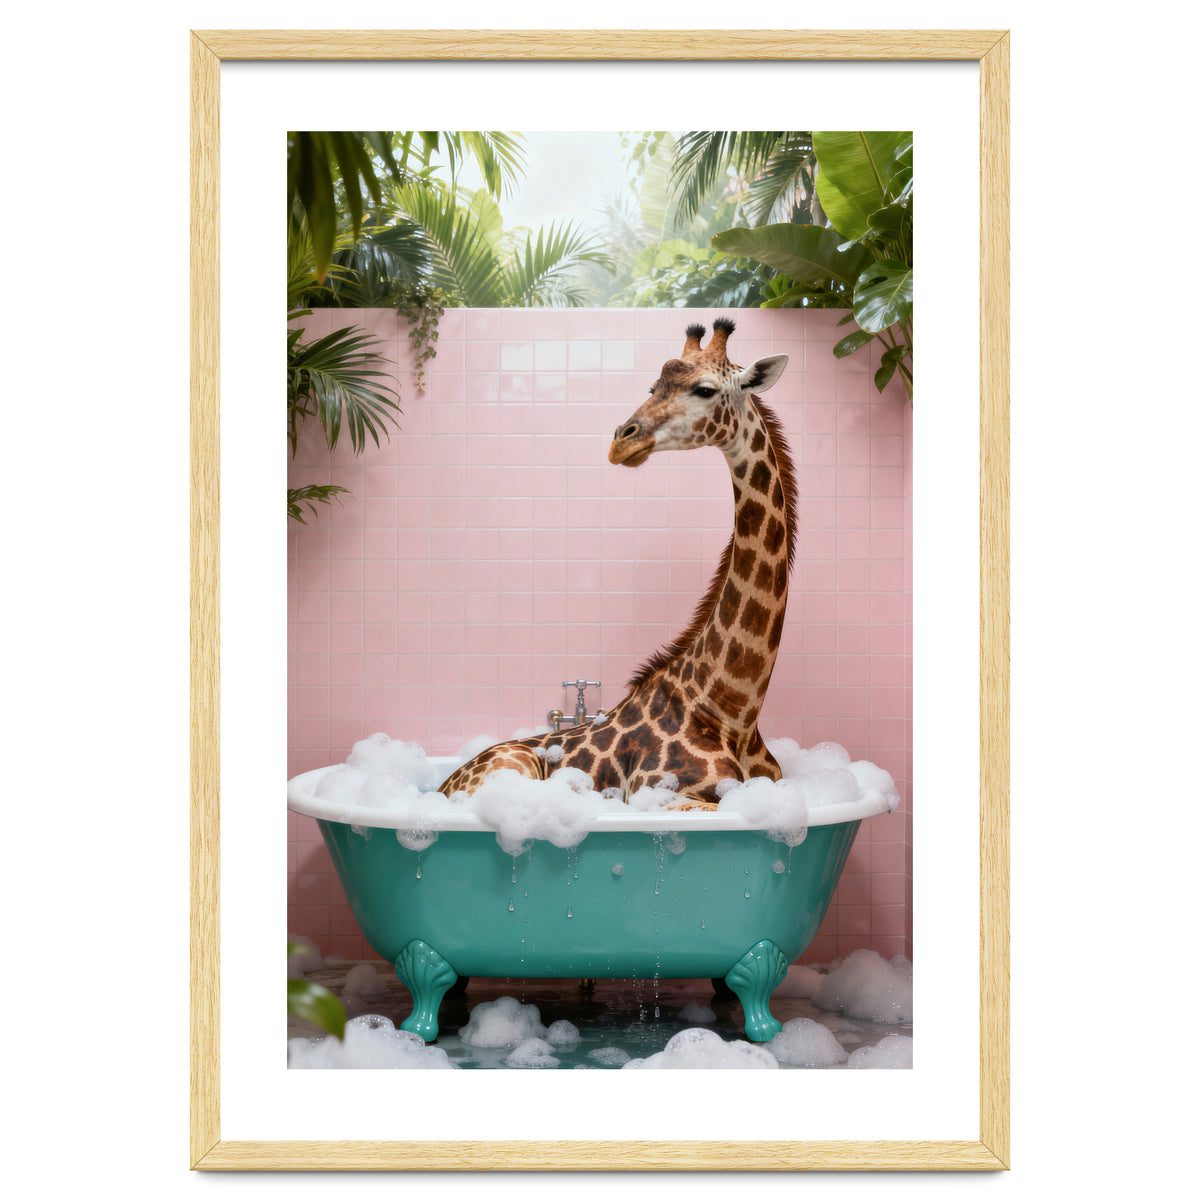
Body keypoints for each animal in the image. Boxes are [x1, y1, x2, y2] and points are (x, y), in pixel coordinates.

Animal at [440, 317, 795, 810]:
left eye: (705, 389)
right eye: (653, 386)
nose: (622, 441)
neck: (733, 711)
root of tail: (442, 785)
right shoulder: (659, 794)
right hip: (514, 768)